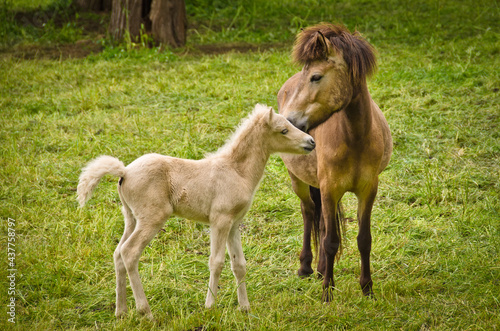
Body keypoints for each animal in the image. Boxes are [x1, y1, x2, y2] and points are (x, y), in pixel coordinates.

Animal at [76, 105, 314, 320]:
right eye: (283, 130)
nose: (311, 142)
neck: (237, 171)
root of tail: (124, 171)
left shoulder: (234, 223)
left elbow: (239, 264)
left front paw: (245, 308)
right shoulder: (220, 220)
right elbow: (216, 262)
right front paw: (210, 306)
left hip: (131, 217)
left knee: (118, 253)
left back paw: (121, 311)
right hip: (152, 218)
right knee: (129, 252)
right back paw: (146, 312)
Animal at [278, 23, 390, 302]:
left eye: (316, 77)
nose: (290, 122)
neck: (355, 138)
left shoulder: (368, 190)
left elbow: (364, 239)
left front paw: (367, 288)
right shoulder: (330, 188)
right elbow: (330, 241)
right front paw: (328, 292)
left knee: (320, 221)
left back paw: (319, 270)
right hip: (299, 181)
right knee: (308, 213)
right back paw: (306, 267)